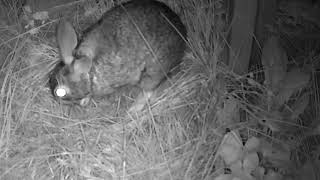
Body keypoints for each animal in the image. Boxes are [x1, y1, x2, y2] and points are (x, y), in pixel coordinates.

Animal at [48, 0, 186, 112]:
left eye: (60, 92)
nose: (57, 101)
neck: (89, 72)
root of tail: (183, 34)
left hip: (153, 70)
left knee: (148, 88)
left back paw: (133, 110)